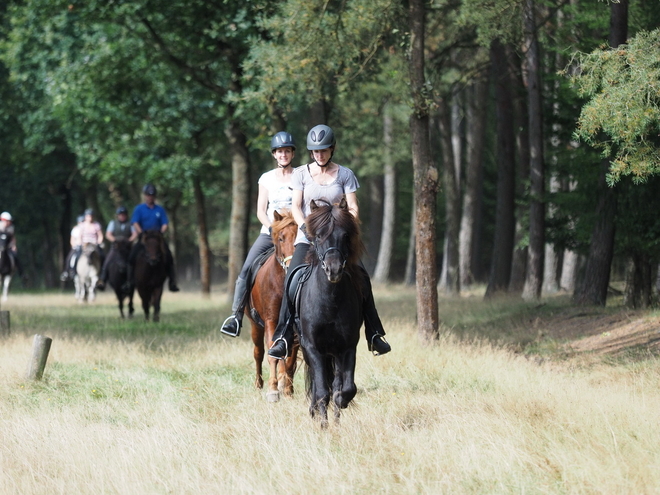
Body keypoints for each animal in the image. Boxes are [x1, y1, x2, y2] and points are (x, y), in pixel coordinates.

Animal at [248, 209, 300, 404]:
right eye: (281, 238)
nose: (291, 265)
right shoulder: (271, 321)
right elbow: (272, 354)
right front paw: (273, 389)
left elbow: (289, 359)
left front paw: (288, 389)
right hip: (255, 325)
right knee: (258, 352)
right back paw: (259, 384)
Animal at [296, 200, 364, 428]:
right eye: (318, 236)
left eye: (345, 235)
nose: (333, 270)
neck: (330, 302)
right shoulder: (313, 348)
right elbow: (321, 392)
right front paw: (323, 426)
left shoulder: (348, 347)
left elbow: (345, 388)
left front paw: (340, 405)